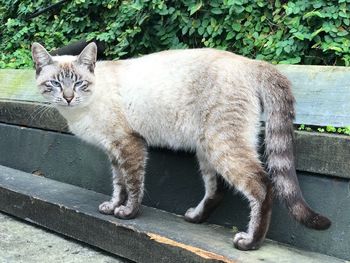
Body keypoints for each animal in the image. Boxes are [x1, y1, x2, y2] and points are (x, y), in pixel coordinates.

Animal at [30, 42, 330, 252]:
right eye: (54, 84)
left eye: (80, 83)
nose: (69, 98)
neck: (81, 111)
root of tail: (251, 62)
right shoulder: (113, 152)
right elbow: (118, 184)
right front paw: (113, 206)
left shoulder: (130, 144)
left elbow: (133, 185)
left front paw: (127, 213)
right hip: (206, 148)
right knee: (216, 190)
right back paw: (195, 217)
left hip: (221, 145)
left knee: (262, 185)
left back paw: (250, 242)